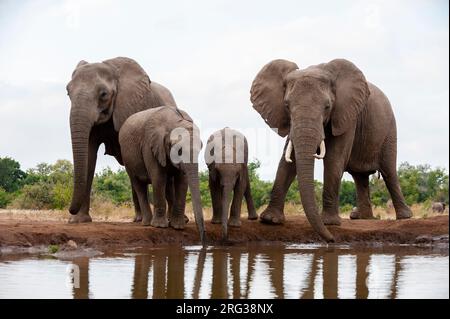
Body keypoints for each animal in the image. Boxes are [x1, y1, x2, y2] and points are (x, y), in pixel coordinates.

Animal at [67, 57, 176, 222]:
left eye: (104, 94)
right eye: (68, 92)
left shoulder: (131, 107)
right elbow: (89, 154)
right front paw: (79, 221)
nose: (70, 210)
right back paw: (139, 218)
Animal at [118, 106, 205, 244]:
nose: (202, 242)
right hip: (127, 158)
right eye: (179, 151)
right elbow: (158, 178)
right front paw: (160, 226)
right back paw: (147, 223)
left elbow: (182, 181)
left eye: (200, 148)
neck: (174, 122)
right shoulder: (150, 145)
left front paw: (178, 227)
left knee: (168, 185)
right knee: (139, 185)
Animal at [251, 58, 414, 241]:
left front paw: (329, 223)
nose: (331, 240)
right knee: (360, 176)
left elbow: (334, 159)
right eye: (286, 105)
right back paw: (360, 217)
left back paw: (405, 216)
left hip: (389, 129)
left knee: (388, 171)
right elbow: (288, 161)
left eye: (327, 106)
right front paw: (270, 220)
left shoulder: (347, 115)